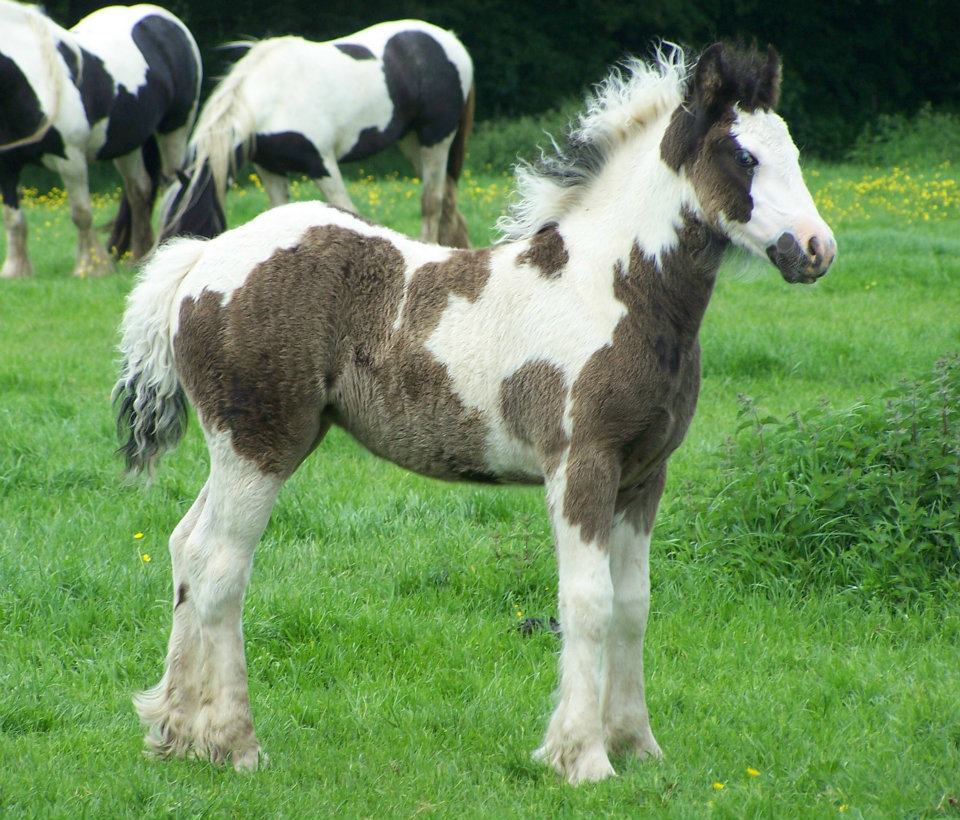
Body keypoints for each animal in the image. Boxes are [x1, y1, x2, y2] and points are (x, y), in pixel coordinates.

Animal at [0, 0, 200, 278]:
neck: (32, 80)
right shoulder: (6, 166)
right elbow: (13, 219)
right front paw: (15, 271)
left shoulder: (70, 160)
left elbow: (81, 213)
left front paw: (91, 267)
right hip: (128, 145)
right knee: (139, 191)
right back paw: (138, 258)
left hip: (176, 131)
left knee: (172, 186)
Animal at [110, 43, 832, 780]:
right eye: (742, 155)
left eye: (796, 151)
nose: (815, 248)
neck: (613, 287)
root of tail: (202, 259)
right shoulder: (581, 464)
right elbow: (588, 602)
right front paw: (584, 758)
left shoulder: (643, 474)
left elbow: (633, 605)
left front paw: (638, 745)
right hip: (259, 445)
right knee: (220, 567)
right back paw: (235, 742)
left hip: (248, 446)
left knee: (185, 547)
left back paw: (176, 731)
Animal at [162, 20, 476, 247]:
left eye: (185, 228)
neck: (270, 98)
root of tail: (451, 41)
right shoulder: (270, 169)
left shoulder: (322, 164)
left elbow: (345, 209)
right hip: (411, 141)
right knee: (448, 200)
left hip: (436, 138)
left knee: (432, 202)